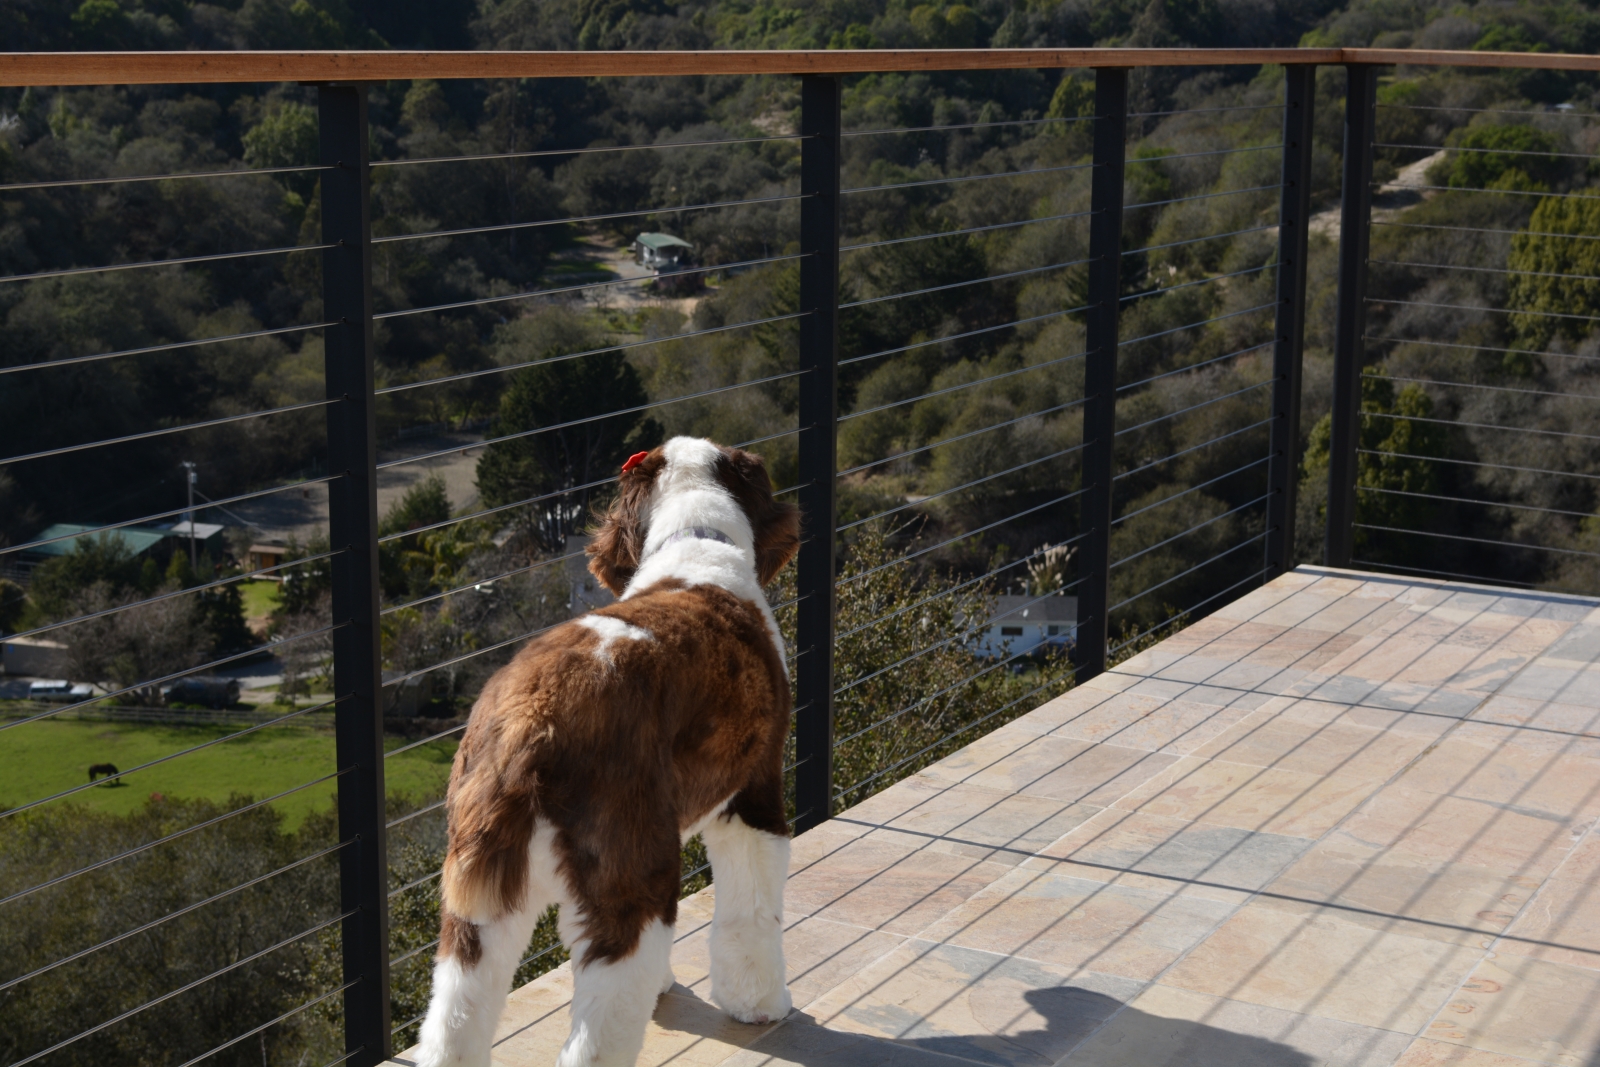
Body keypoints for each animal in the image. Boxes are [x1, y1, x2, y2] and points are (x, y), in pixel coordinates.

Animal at [412, 435, 800, 1067]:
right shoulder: (752, 798)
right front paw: (760, 1003)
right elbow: (751, 914)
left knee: (455, 1013)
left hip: (481, 897)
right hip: (631, 874)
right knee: (599, 1030)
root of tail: (530, 725)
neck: (696, 541)